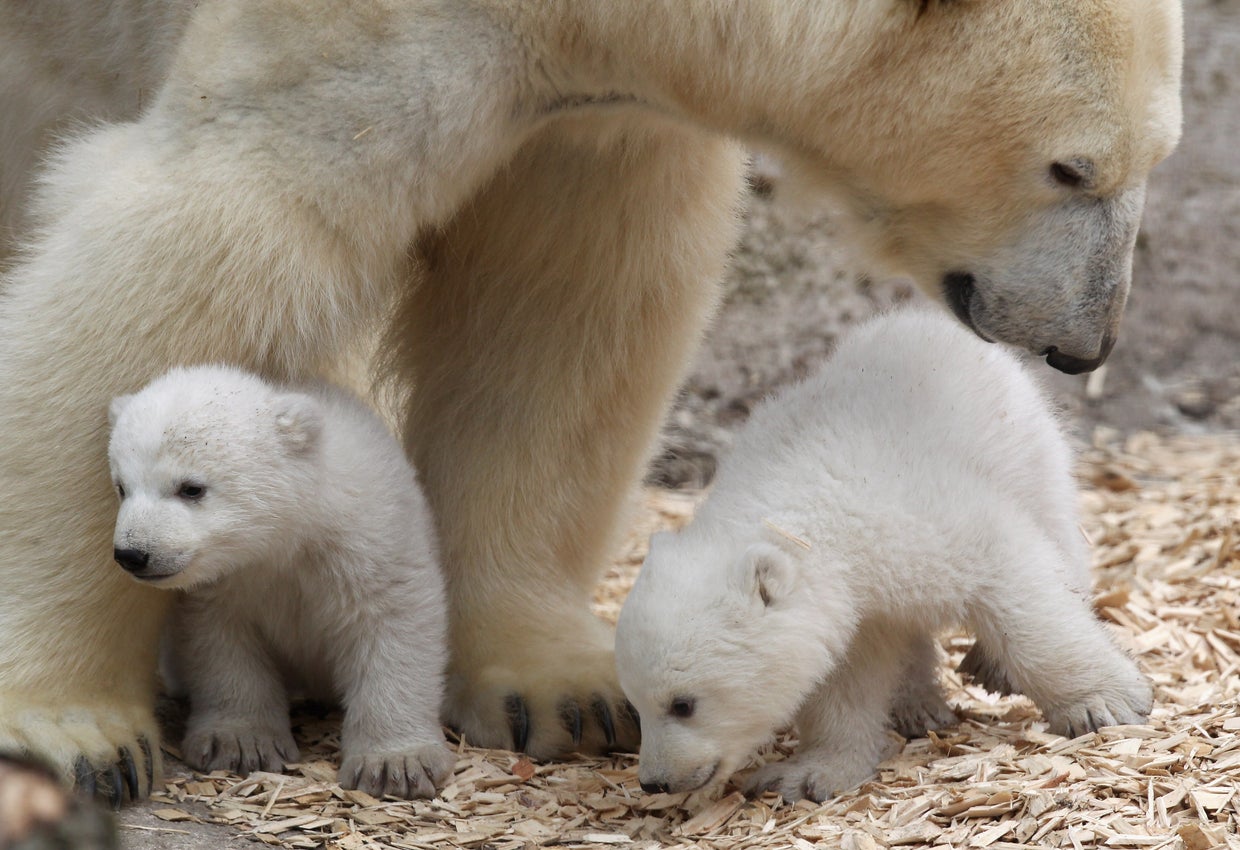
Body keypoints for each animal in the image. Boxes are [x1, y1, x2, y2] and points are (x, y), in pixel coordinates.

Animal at [107, 365, 454, 800]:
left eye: (191, 487)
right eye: (122, 486)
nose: (133, 553)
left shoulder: (371, 534)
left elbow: (395, 620)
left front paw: (397, 764)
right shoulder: (224, 580)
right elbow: (219, 639)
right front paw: (241, 743)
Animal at [615, 310, 1153, 803]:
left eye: (683, 704)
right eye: (634, 704)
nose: (655, 781)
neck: (806, 498)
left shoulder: (914, 515)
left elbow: (1012, 575)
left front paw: (1105, 703)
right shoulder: (850, 597)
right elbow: (844, 676)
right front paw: (809, 773)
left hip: (1025, 443)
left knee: (1055, 524)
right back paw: (917, 704)